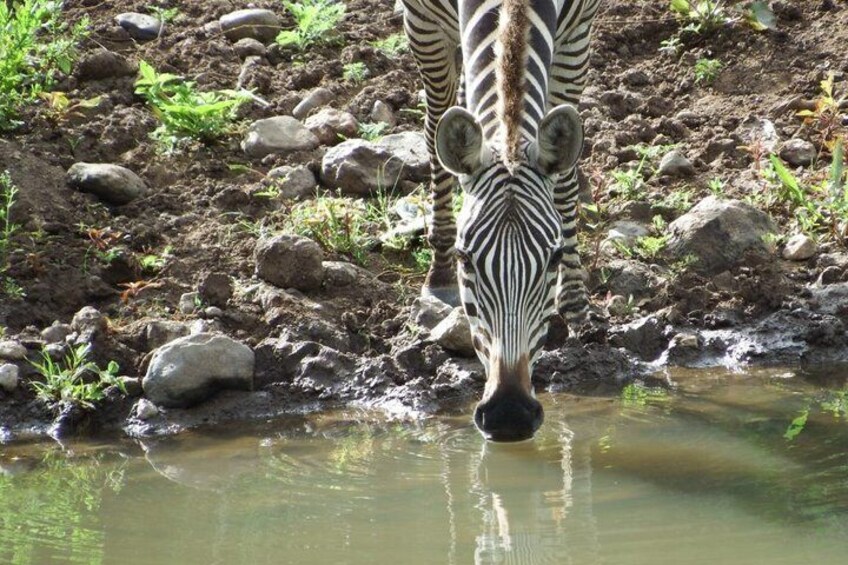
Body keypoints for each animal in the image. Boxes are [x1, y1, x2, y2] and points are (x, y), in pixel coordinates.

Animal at [402, 0, 600, 441]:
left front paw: (575, 303)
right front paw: (440, 271)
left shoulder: (578, 37)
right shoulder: (421, 23)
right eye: (465, 259)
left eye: (554, 259)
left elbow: (565, 177)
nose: (509, 417)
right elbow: (435, 131)